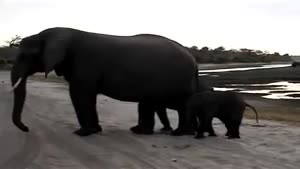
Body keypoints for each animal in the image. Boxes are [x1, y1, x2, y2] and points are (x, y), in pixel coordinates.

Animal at [9, 27, 197, 137]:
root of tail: (194, 62)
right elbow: (87, 96)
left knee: (179, 104)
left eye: (25, 56)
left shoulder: (84, 64)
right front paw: (95, 131)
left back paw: (179, 133)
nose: (26, 129)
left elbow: (79, 94)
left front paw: (82, 133)